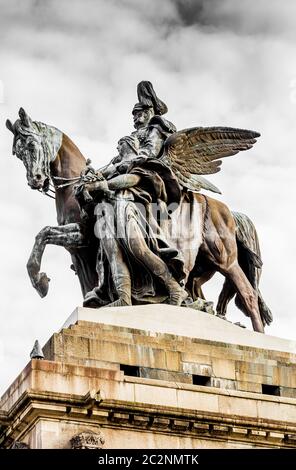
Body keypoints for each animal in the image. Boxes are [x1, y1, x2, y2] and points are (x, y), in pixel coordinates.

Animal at [5, 108, 272, 332]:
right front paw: (42, 281)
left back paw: (258, 336)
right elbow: (44, 234)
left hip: (224, 258)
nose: (36, 180)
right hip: (203, 266)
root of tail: (229, 211)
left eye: (31, 144)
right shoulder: (77, 244)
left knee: (249, 294)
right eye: (17, 153)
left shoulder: (84, 237)